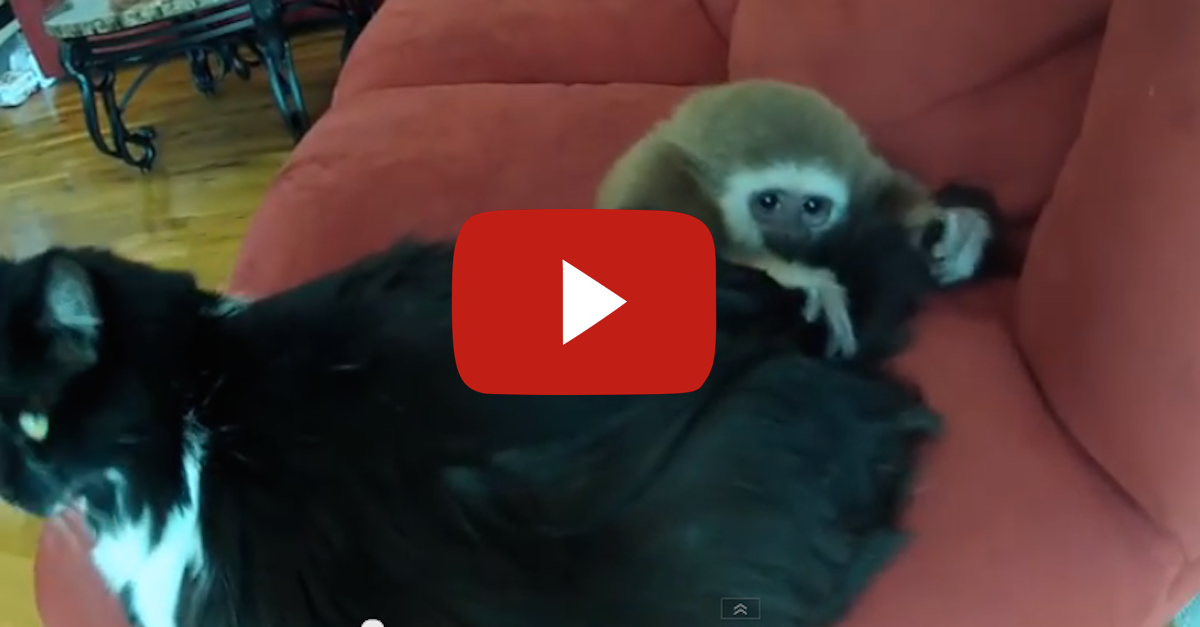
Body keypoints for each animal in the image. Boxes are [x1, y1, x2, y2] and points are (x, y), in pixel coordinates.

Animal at [595, 79, 996, 360]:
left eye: (812, 208)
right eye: (769, 203)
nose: (790, 231)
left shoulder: (860, 176)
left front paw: (954, 225)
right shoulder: (670, 181)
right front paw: (799, 276)